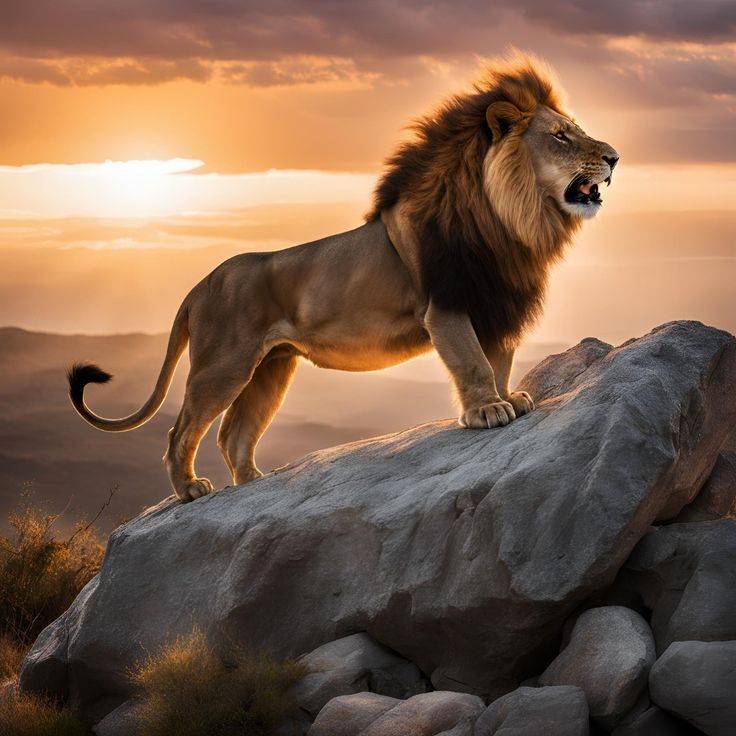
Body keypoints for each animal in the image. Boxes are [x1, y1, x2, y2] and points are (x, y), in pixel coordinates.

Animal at [69, 50, 620, 500]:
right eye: (560, 136)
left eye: (574, 129)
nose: (614, 157)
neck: (511, 219)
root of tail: (199, 284)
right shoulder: (446, 305)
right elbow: (473, 363)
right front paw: (487, 411)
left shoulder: (496, 302)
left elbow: (499, 360)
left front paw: (509, 400)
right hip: (222, 365)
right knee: (180, 431)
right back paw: (189, 489)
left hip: (271, 368)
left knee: (233, 434)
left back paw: (253, 484)